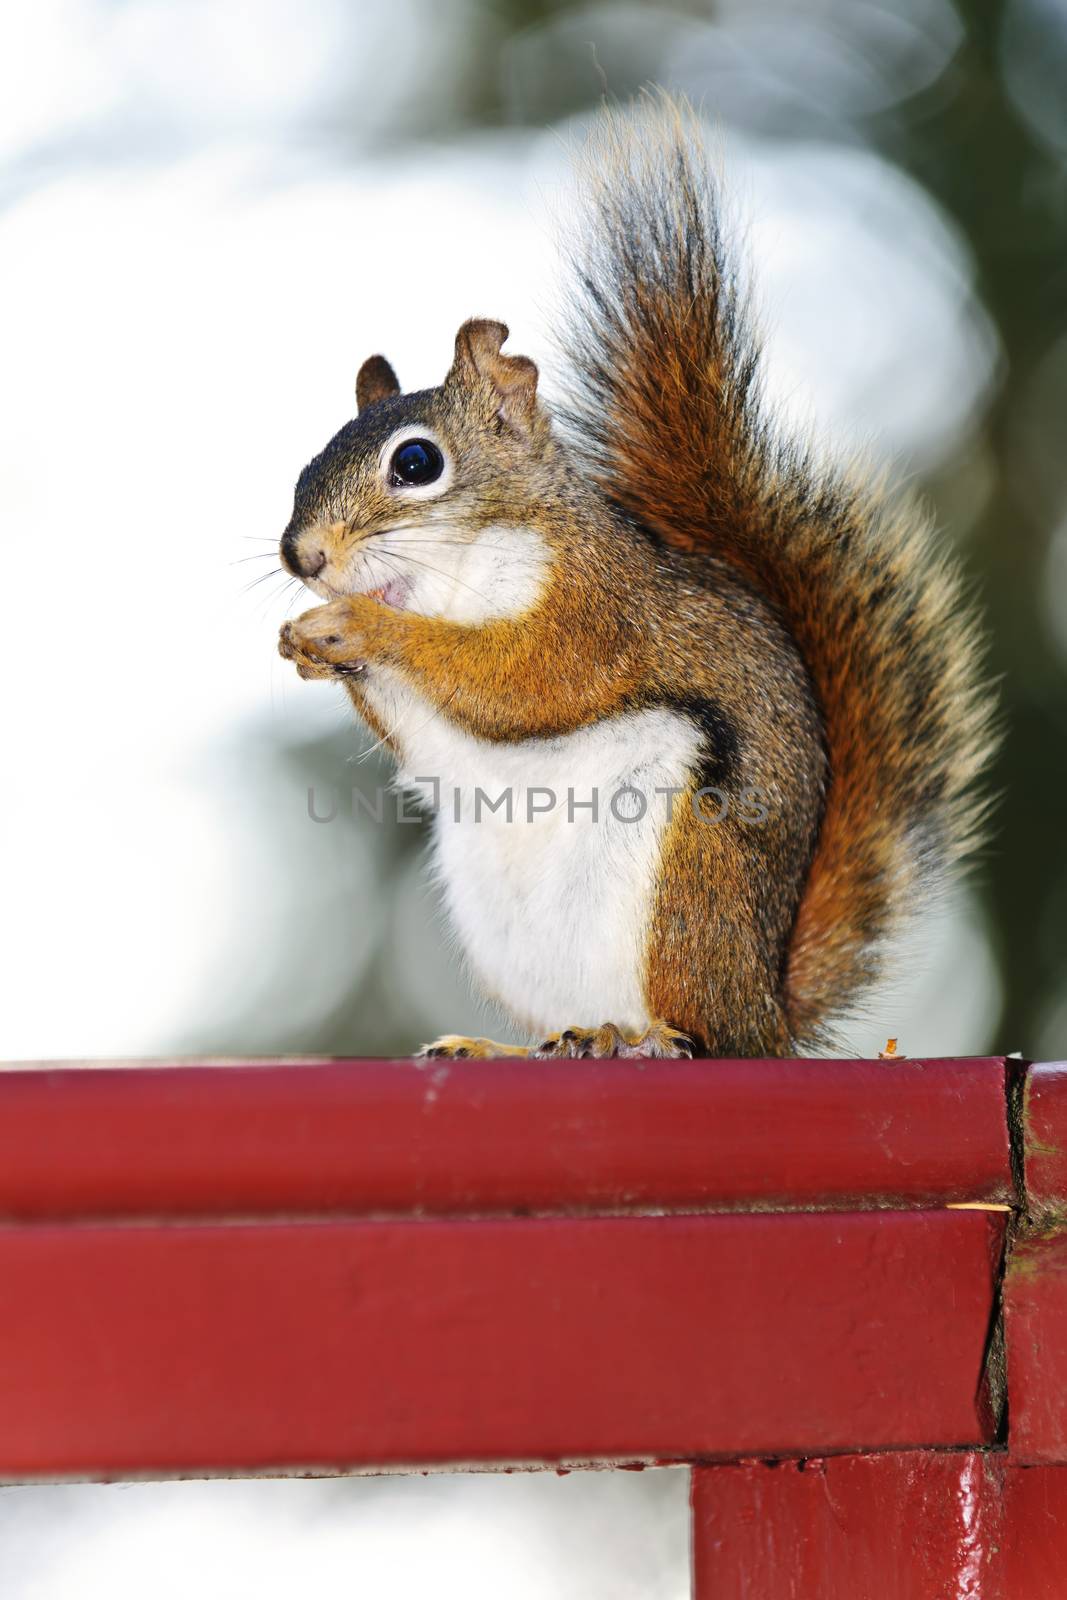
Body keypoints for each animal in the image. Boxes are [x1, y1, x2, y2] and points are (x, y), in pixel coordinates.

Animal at [279, 93, 998, 1056]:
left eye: (417, 462)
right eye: (308, 462)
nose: (302, 557)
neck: (458, 576)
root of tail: (766, 1007)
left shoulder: (598, 608)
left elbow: (524, 682)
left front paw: (361, 630)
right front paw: (303, 643)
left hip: (686, 877)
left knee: (700, 1029)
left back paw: (652, 1036)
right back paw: (518, 1046)